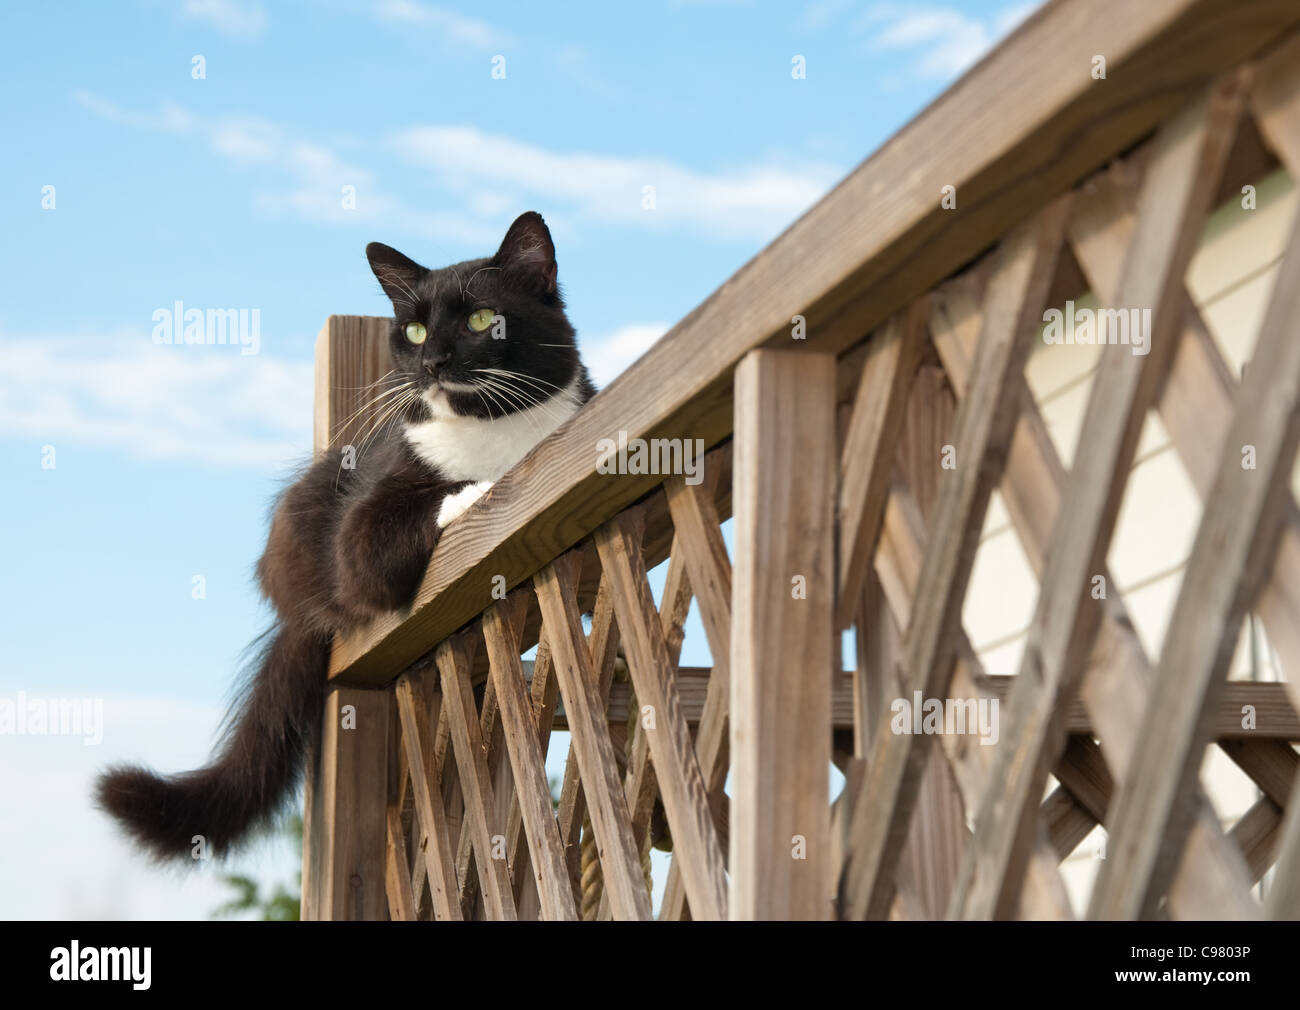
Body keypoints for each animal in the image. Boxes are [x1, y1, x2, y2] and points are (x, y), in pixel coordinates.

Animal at [97, 210, 598, 857]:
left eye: (482, 319)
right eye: (413, 330)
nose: (433, 361)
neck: (492, 429)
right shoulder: (364, 526)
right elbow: (406, 520)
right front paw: (479, 486)